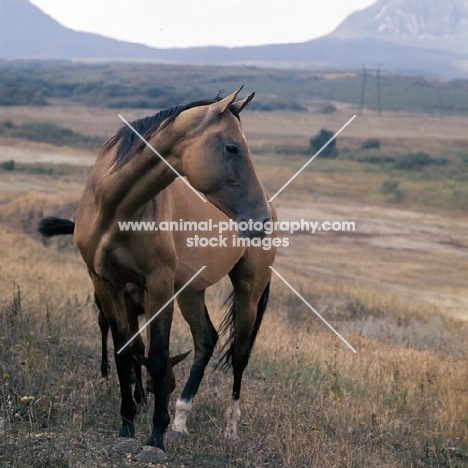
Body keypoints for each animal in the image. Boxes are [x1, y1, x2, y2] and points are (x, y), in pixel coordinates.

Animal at [40, 88, 276, 464]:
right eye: (232, 148)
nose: (261, 220)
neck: (116, 210)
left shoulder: (158, 285)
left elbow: (159, 357)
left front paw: (154, 439)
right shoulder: (107, 284)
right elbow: (126, 353)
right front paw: (127, 428)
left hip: (249, 288)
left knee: (239, 352)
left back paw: (230, 429)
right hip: (191, 291)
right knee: (206, 339)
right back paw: (180, 421)